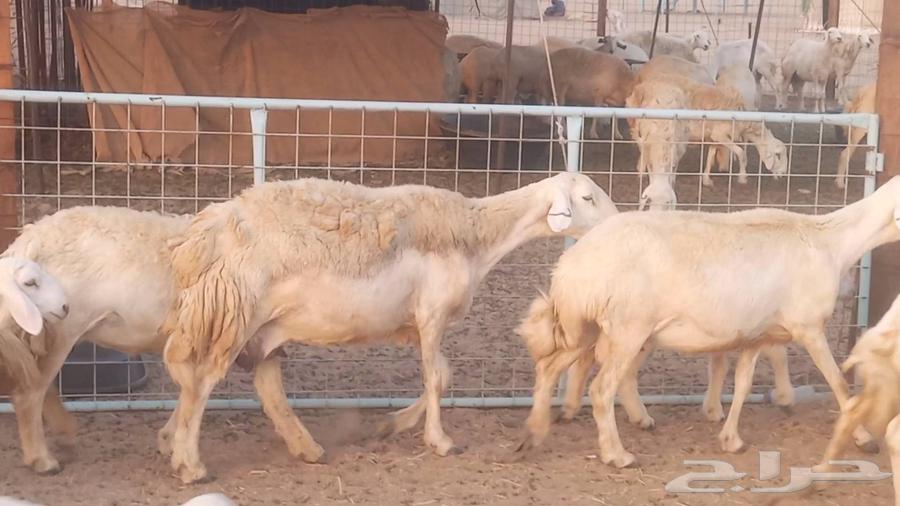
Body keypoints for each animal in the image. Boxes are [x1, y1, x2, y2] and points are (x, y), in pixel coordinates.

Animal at [159, 173, 618, 484]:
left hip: (261, 325)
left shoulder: (418, 321)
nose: (620, 222)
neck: (477, 235)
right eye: (587, 197)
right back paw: (190, 463)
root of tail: (204, 234)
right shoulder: (432, 313)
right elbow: (434, 378)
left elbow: (443, 376)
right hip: (235, 313)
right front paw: (440, 441)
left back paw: (302, 448)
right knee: (201, 382)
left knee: (257, 383)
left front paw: (391, 424)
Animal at [511, 177, 900, 468]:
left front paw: (731, 439)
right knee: (601, 389)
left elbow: (742, 385)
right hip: (627, 328)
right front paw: (864, 438)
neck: (832, 243)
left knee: (548, 368)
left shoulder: (757, 335)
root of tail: (570, 269)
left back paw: (532, 434)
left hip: (582, 325)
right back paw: (617, 454)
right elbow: (839, 384)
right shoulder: (809, 327)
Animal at [624, 80, 690, 211]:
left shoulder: (677, 152)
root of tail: (663, 82)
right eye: (649, 201)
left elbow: (672, 172)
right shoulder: (648, 149)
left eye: (667, 204)